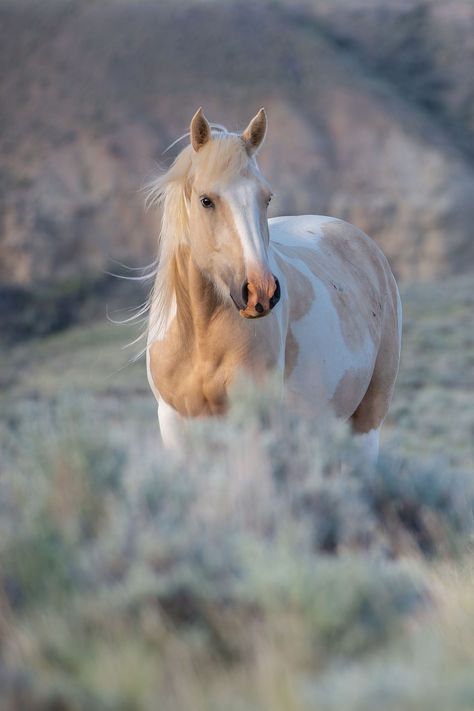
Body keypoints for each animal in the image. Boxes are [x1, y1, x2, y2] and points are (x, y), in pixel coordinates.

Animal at [144, 107, 400, 462]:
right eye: (206, 200)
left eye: (266, 198)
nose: (260, 292)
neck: (199, 334)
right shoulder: (174, 425)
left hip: (365, 423)